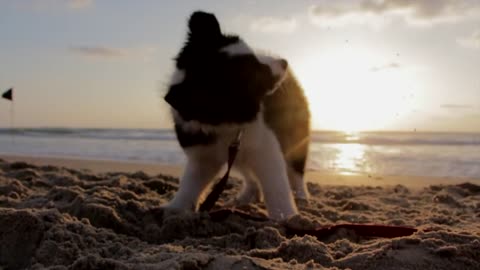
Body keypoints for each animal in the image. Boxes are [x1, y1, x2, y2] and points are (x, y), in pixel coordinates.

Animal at [163, 11, 310, 221]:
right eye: (256, 73)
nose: (284, 62)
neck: (224, 122)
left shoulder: (266, 148)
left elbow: (277, 187)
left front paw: (287, 217)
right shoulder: (202, 155)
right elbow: (190, 184)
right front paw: (175, 209)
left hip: (294, 133)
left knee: (296, 170)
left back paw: (301, 196)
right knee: (249, 173)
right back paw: (247, 195)